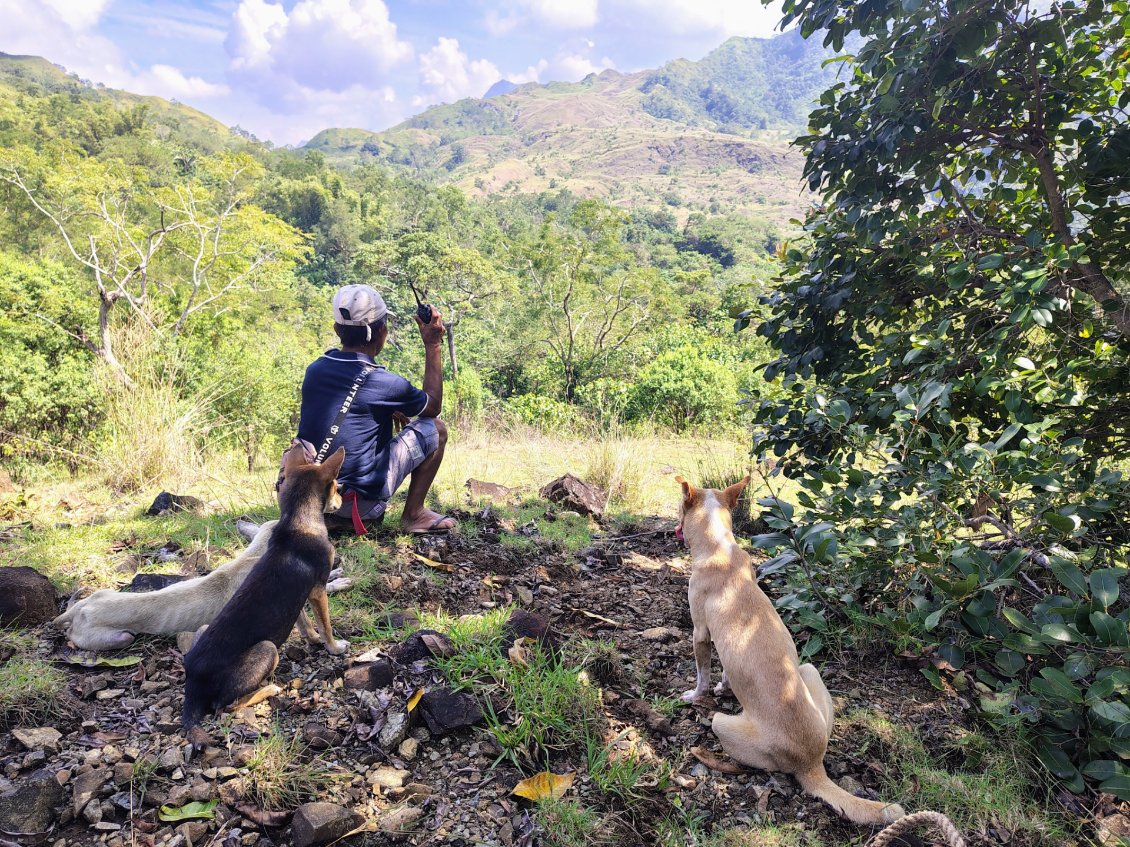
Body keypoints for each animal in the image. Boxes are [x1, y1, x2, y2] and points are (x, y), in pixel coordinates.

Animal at [180, 447, 345, 740]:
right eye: (336, 486)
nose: (343, 498)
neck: (298, 520)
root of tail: (194, 686)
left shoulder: (297, 598)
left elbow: (304, 623)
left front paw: (312, 639)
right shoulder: (318, 590)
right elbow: (326, 626)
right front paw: (334, 647)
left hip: (203, 631)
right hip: (268, 650)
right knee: (226, 706)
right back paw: (270, 688)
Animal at [673, 478, 904, 831]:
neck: (720, 548)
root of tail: (811, 764)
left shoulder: (700, 634)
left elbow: (702, 674)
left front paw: (696, 694)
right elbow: (725, 671)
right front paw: (724, 686)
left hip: (722, 724)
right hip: (809, 672)